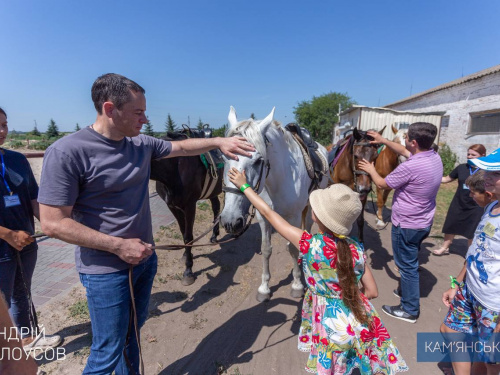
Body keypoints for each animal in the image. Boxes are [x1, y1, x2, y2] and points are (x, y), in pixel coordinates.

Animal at [149, 131, 222, 284]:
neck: (174, 167)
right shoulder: (173, 207)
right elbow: (183, 233)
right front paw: (185, 255)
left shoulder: (190, 206)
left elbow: (188, 237)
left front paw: (188, 271)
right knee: (216, 208)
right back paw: (214, 236)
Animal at [221, 106, 330, 302]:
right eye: (223, 158)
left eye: (258, 160)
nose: (230, 221)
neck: (277, 181)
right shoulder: (263, 216)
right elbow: (266, 250)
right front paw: (264, 288)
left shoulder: (293, 217)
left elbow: (292, 248)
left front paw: (297, 285)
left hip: (311, 207)